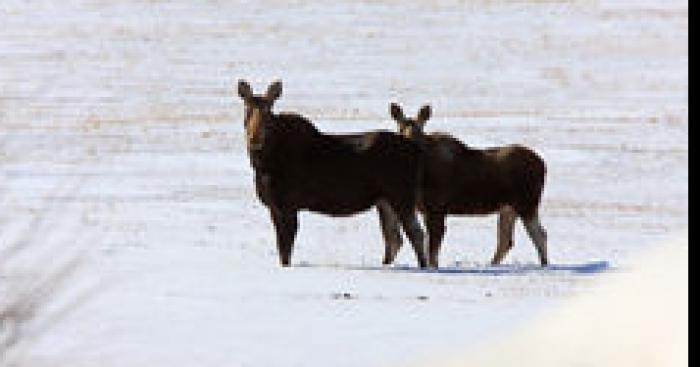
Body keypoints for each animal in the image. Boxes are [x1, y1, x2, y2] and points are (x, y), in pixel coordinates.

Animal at [238, 80, 430, 268]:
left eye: (268, 110)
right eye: (246, 107)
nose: (254, 137)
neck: (263, 164)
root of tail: (416, 150)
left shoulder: (287, 206)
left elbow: (285, 252)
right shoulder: (275, 207)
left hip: (402, 197)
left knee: (416, 234)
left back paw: (423, 266)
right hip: (384, 201)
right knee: (394, 238)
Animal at [380, 102, 548, 268]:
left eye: (420, 129)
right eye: (400, 128)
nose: (409, 142)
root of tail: (543, 165)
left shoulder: (436, 209)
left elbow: (432, 251)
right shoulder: (429, 210)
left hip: (527, 204)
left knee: (539, 235)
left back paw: (544, 264)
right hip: (508, 207)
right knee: (506, 240)